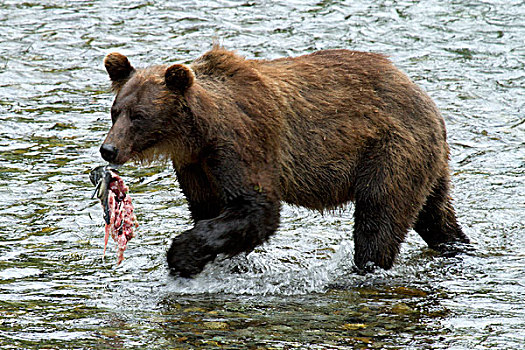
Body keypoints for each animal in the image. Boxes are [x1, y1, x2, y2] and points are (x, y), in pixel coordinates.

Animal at [100, 45, 468, 276]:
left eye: (139, 116)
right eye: (115, 111)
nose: (108, 149)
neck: (197, 132)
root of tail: (428, 102)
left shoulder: (241, 142)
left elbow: (257, 208)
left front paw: (181, 255)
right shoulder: (195, 165)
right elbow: (210, 209)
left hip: (390, 149)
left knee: (379, 217)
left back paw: (365, 266)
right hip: (425, 162)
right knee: (434, 213)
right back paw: (457, 246)